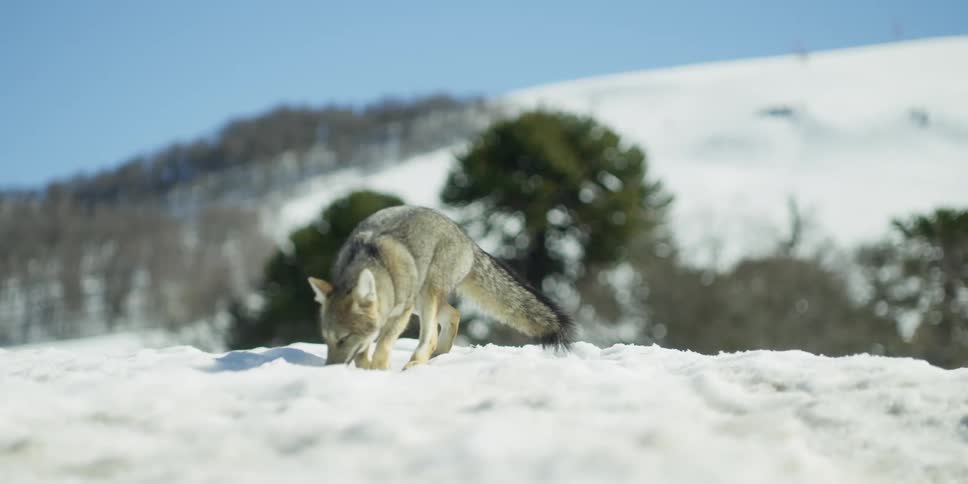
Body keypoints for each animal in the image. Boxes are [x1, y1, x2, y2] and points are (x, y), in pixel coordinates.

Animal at [307, 205, 574, 370]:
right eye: (327, 340)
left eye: (343, 339)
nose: (330, 370)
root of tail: (467, 239)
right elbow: (363, 351)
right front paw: (365, 371)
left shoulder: (400, 315)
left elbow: (382, 346)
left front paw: (378, 371)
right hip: (421, 302)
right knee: (453, 315)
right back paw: (439, 356)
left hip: (425, 297)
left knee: (432, 335)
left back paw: (418, 362)